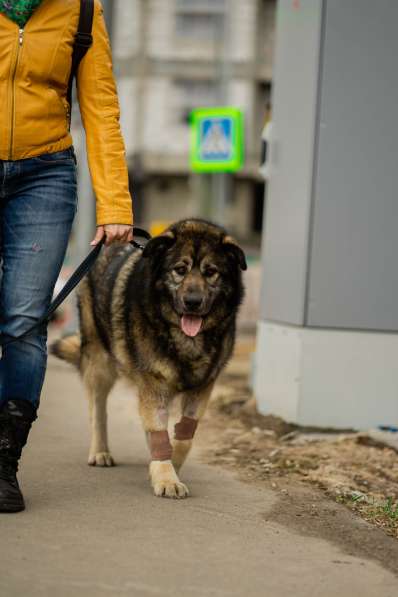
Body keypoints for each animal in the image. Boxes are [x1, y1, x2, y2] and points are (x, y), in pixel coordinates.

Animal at [51, 219, 246, 498]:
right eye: (179, 270)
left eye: (211, 272)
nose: (193, 302)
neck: (184, 338)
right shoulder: (153, 385)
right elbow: (158, 430)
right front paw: (166, 477)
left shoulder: (201, 389)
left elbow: (183, 437)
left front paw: (166, 467)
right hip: (100, 366)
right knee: (98, 411)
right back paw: (100, 452)